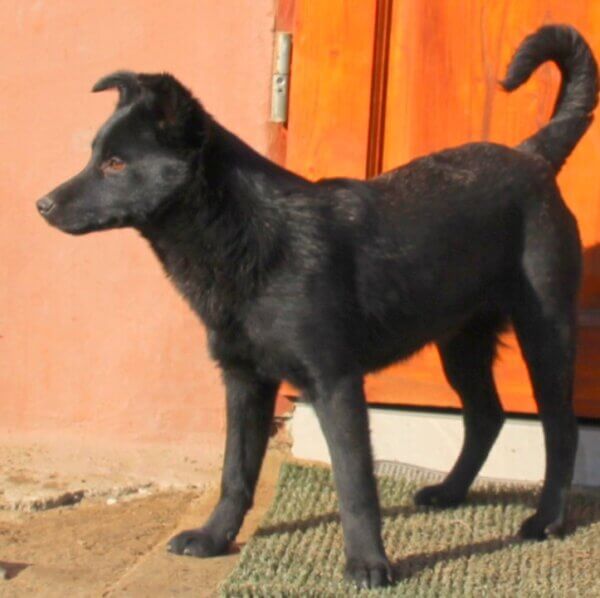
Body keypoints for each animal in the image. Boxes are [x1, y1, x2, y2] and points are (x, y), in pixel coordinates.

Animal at [38, 25, 597, 588]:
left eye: (115, 164)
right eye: (94, 155)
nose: (43, 205)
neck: (248, 233)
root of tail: (533, 156)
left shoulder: (335, 384)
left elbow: (355, 485)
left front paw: (368, 563)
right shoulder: (244, 380)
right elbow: (234, 472)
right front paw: (215, 538)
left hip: (544, 333)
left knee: (561, 429)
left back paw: (546, 520)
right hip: (460, 340)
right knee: (486, 416)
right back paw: (449, 492)